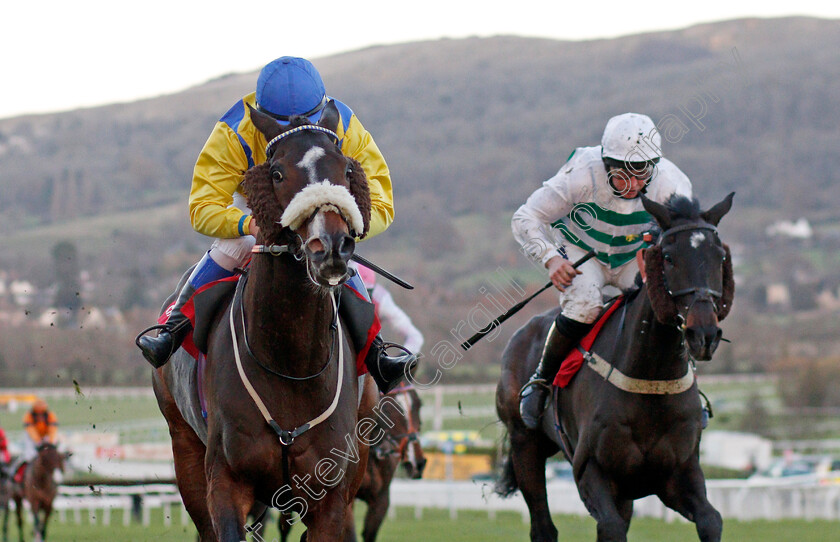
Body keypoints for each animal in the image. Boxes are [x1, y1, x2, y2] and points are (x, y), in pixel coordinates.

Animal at [153, 101, 378, 540]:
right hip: (184, 446)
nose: (331, 246)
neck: (291, 364)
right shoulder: (225, 482)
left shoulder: (332, 498)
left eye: (347, 169)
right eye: (277, 172)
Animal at [498, 193, 736, 540]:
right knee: (543, 527)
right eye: (668, 257)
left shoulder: (678, 473)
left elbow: (711, 519)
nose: (703, 333)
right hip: (524, 445)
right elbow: (609, 527)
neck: (650, 380)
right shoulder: (591, 470)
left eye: (720, 257)